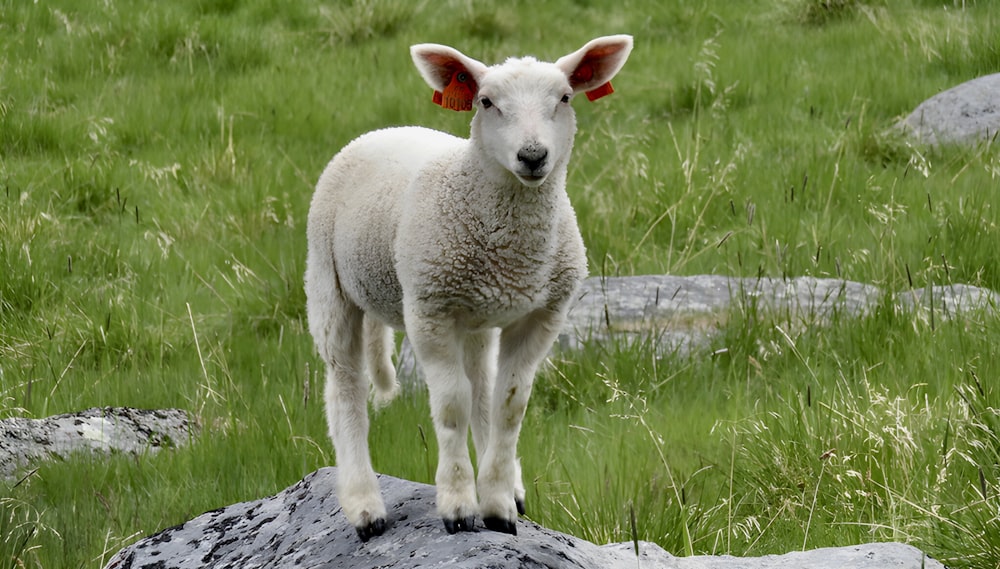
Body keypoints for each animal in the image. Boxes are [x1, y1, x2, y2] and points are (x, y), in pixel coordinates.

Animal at [304, 33, 632, 540]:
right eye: (486, 102)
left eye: (564, 98)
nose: (533, 156)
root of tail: (382, 131)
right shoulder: (429, 308)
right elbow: (452, 404)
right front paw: (458, 505)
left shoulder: (541, 314)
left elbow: (508, 405)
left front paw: (497, 506)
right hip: (329, 281)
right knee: (345, 390)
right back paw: (364, 507)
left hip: (475, 318)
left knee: (482, 387)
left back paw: (511, 489)